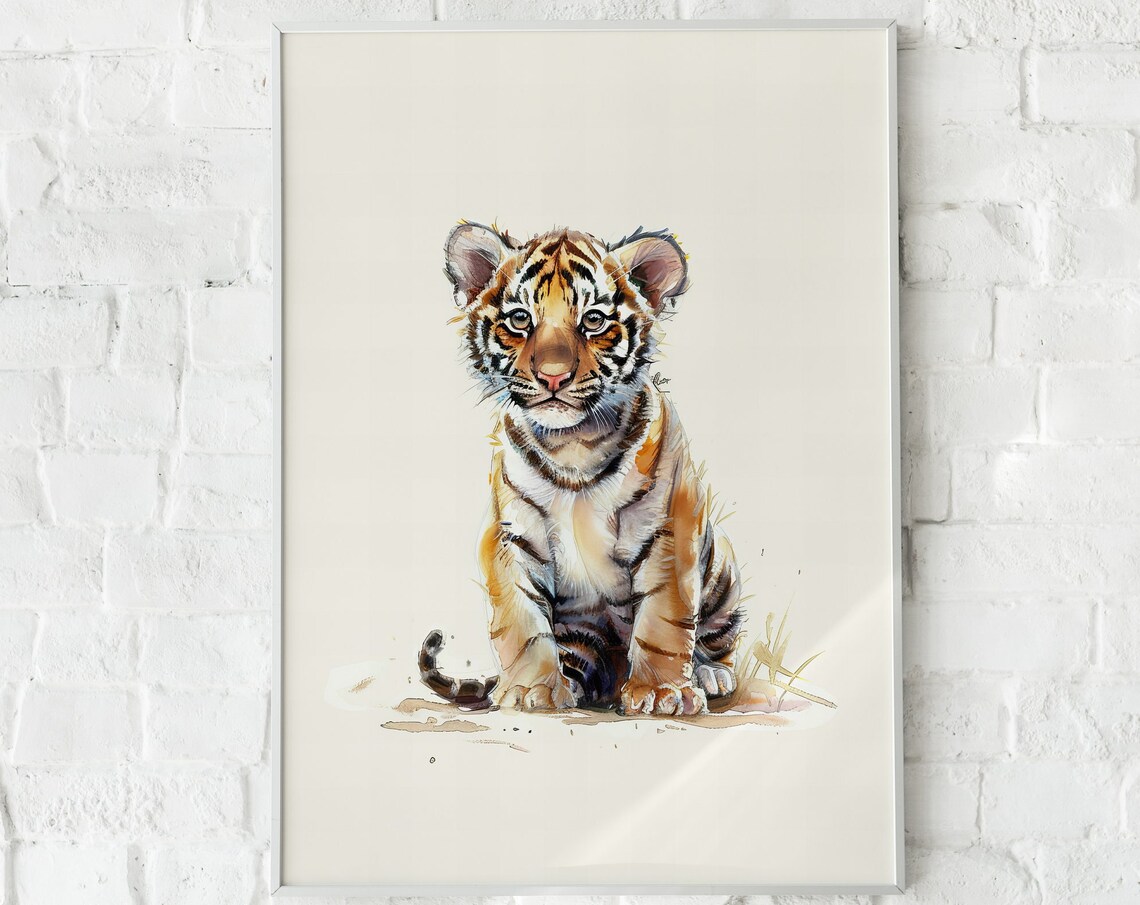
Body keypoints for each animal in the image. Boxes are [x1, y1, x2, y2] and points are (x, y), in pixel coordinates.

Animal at [418, 222, 745, 716]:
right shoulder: (510, 535)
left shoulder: (671, 529)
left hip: (721, 567)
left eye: (593, 321)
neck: (574, 445)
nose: (553, 376)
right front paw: (530, 689)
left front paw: (661, 693)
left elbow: (665, 619)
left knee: (714, 638)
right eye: (520, 319)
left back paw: (709, 674)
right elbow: (519, 620)